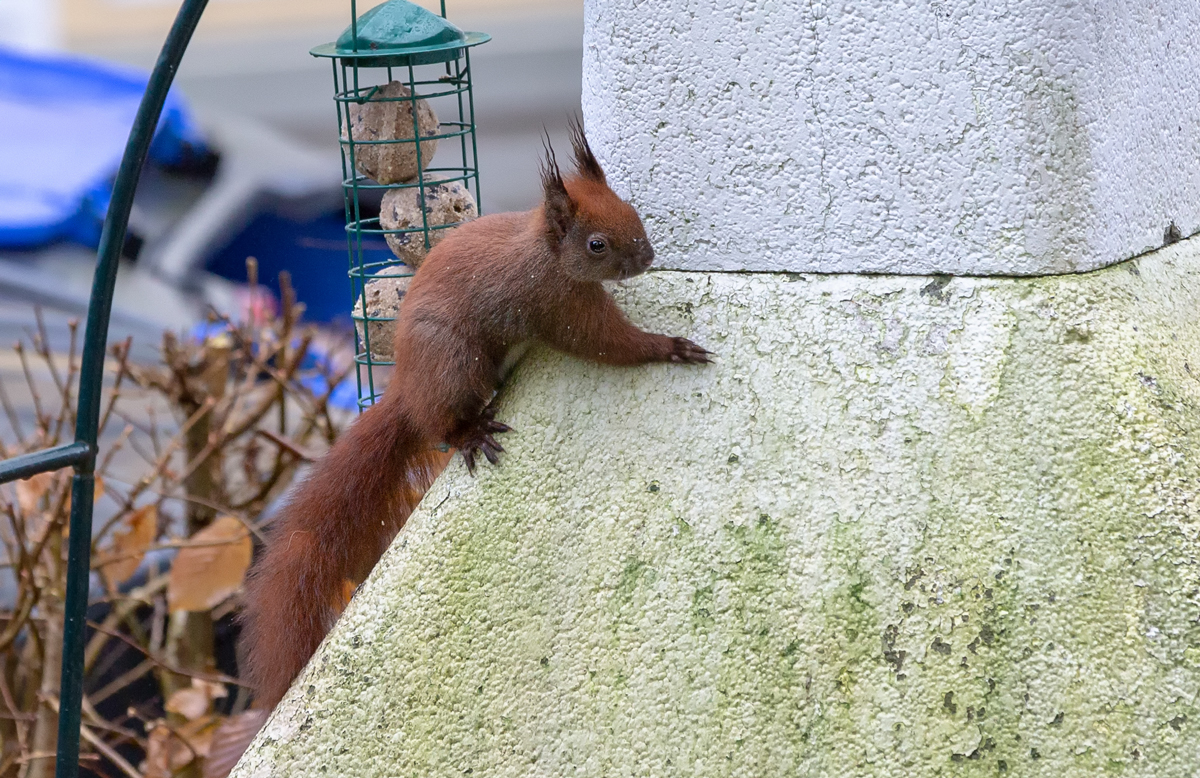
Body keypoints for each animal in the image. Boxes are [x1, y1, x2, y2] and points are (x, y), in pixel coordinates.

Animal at [236, 124, 710, 715]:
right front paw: (667, 347)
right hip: (455, 363)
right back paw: (469, 432)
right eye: (596, 244)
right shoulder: (557, 303)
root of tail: (407, 389)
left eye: (631, 210)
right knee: (443, 422)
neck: (544, 251)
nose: (647, 257)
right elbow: (605, 343)